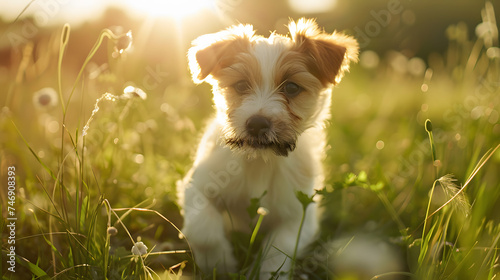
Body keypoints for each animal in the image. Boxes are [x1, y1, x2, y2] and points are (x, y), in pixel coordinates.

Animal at [178, 18, 358, 278]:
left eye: (291, 88)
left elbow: (277, 253)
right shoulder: (197, 187)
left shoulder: (299, 214)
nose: (256, 123)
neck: (260, 161)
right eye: (241, 85)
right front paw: (219, 264)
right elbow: (204, 230)